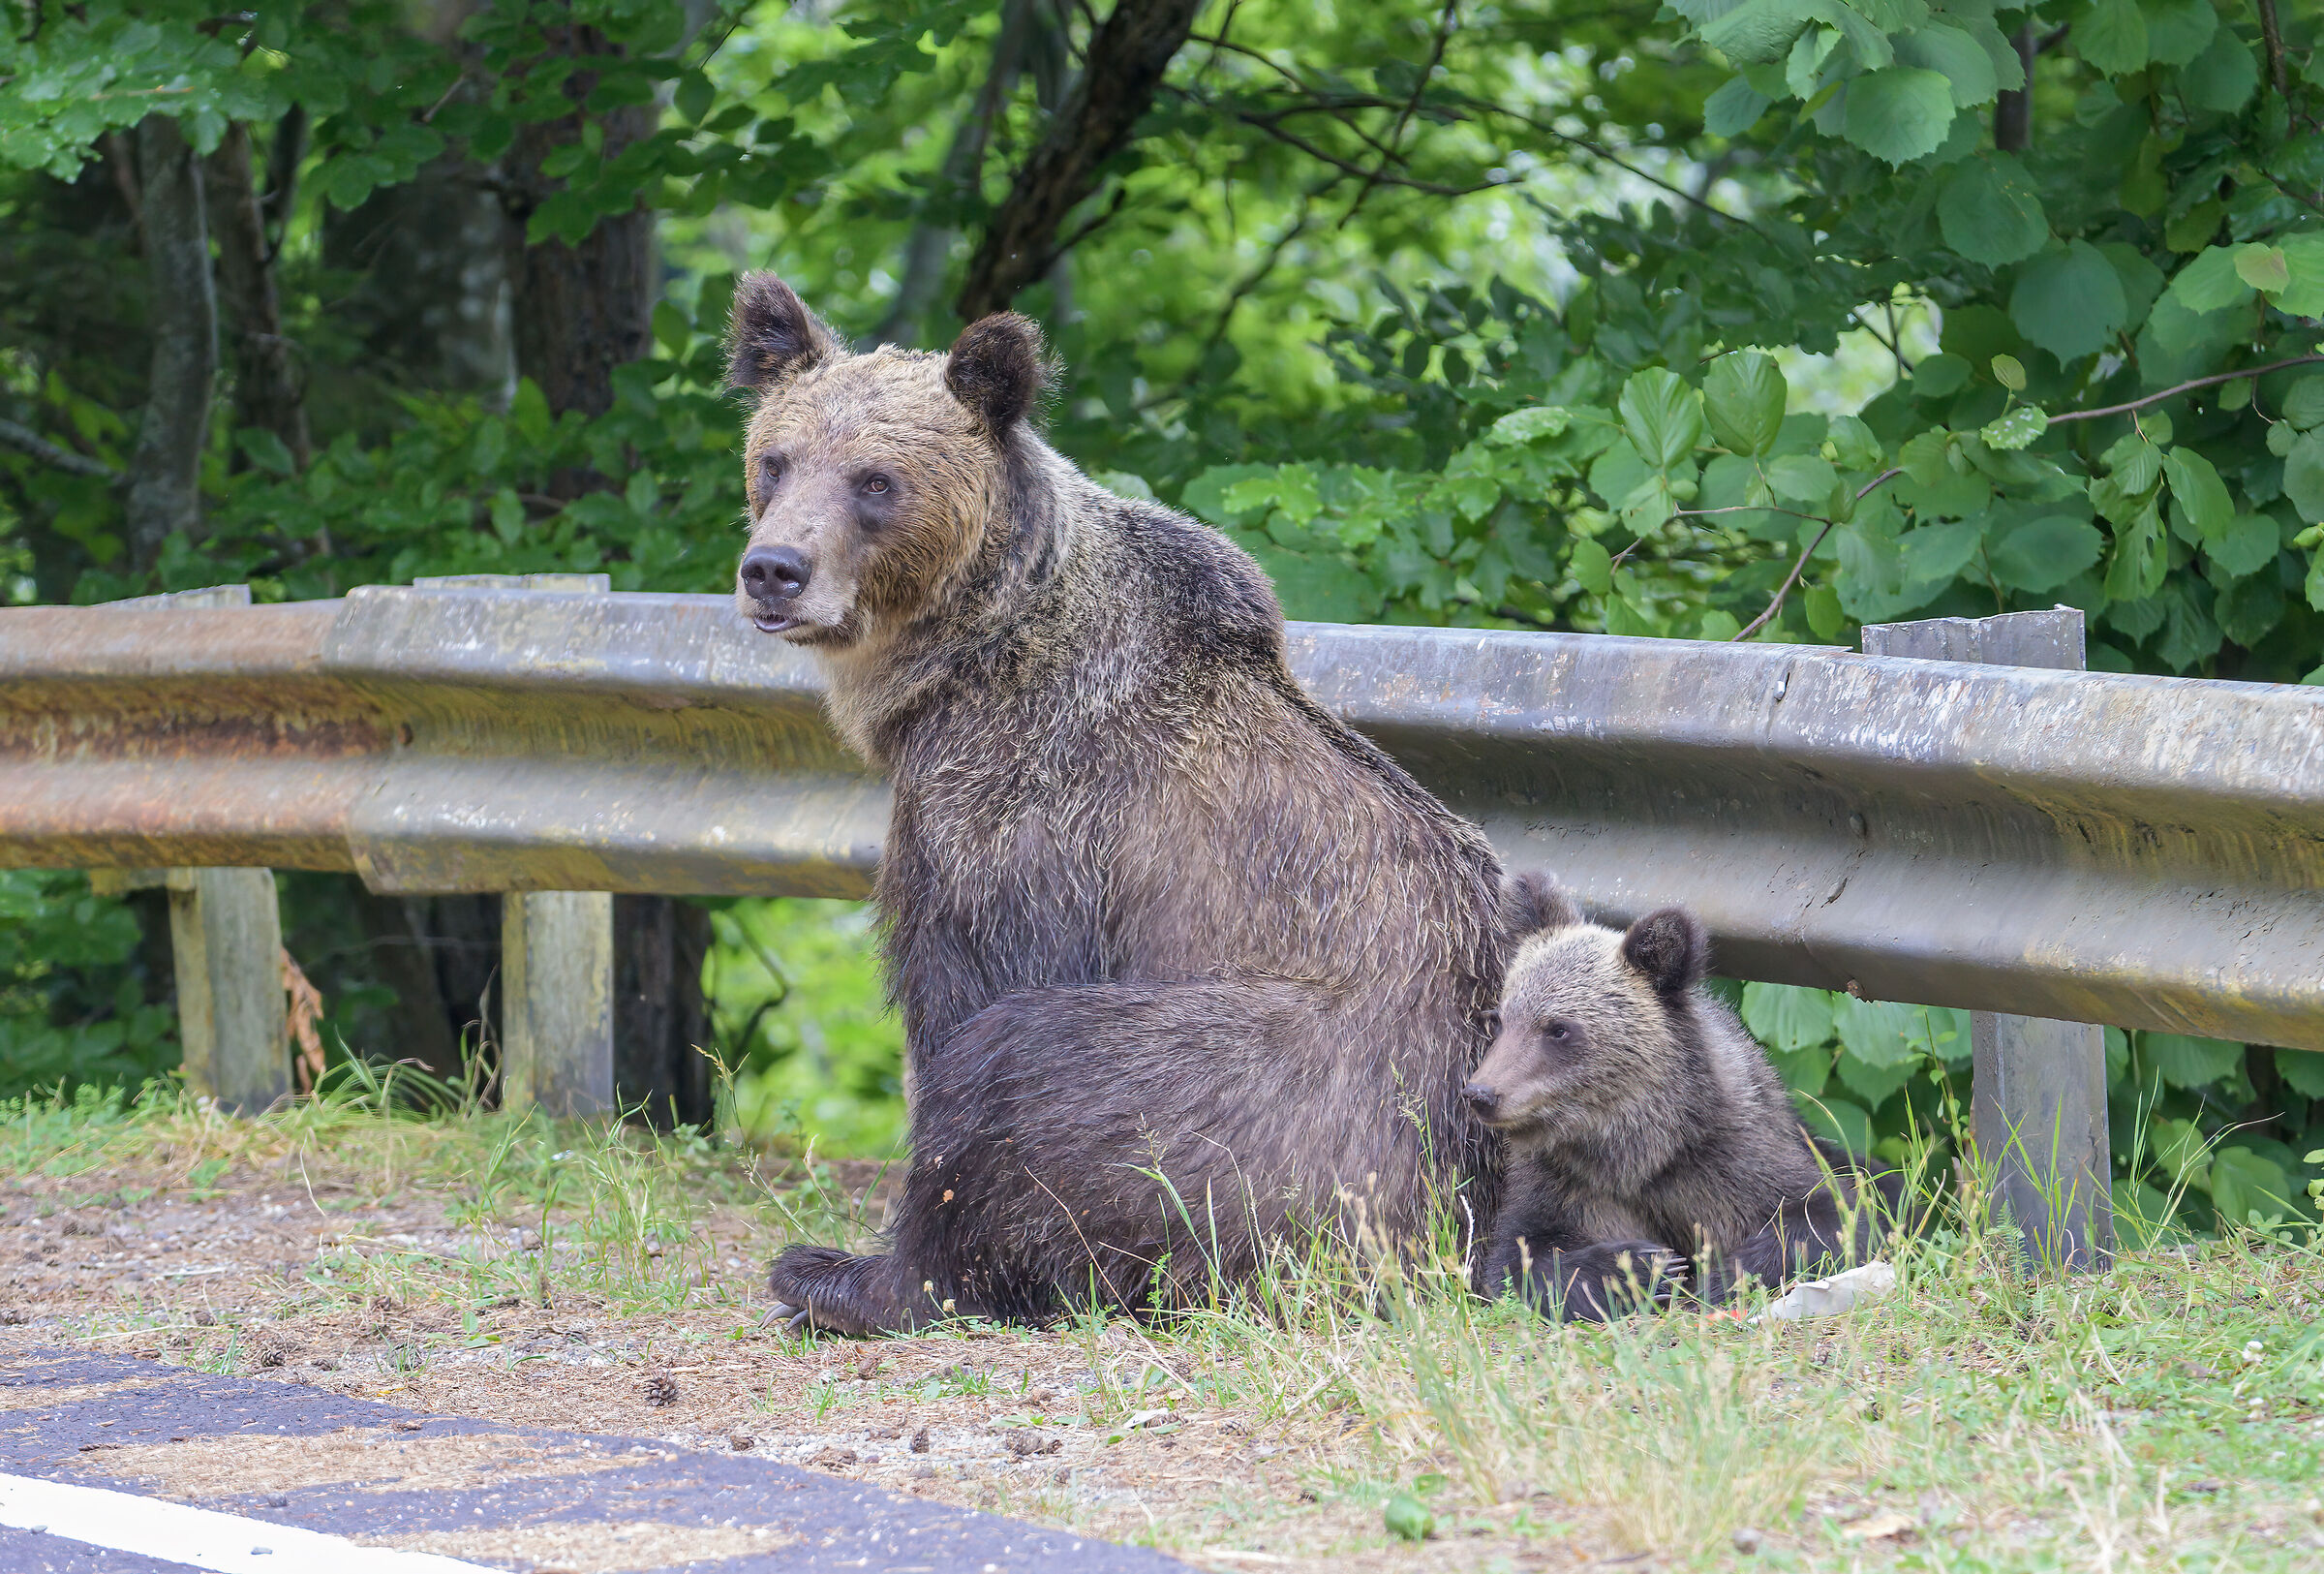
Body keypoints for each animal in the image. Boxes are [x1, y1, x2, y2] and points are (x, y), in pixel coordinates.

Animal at [722, 274, 1506, 1333]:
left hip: (1278, 1091)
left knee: (1026, 1060)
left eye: (875, 479)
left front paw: (876, 1265)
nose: (775, 569)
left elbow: (967, 1006)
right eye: (776, 458)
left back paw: (840, 1275)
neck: (960, 663)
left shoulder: (1017, 819)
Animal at [1464, 873, 1906, 1322]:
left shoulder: (1729, 1159)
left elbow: (1830, 1219)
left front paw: (1717, 1276)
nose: (1481, 1093)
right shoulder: (1560, 1182)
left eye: (1558, 1029)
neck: (1636, 1148)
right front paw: (1645, 1268)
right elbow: (1520, 1258)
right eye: (1499, 1020)